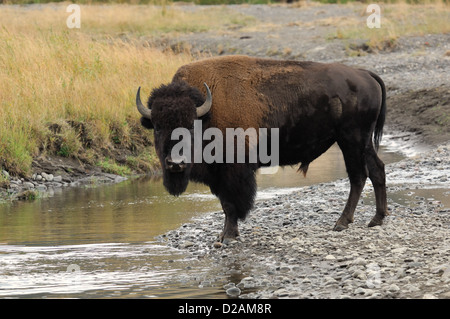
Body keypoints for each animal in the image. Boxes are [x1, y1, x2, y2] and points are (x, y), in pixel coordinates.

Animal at [137, 55, 386, 245]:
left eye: (190, 125)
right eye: (157, 127)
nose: (175, 163)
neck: (207, 112)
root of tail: (364, 74)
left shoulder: (233, 171)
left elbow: (231, 204)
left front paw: (228, 236)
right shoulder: (219, 175)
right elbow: (225, 204)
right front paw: (224, 235)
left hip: (351, 140)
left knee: (358, 176)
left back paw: (342, 223)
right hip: (361, 142)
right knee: (376, 170)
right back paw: (376, 219)